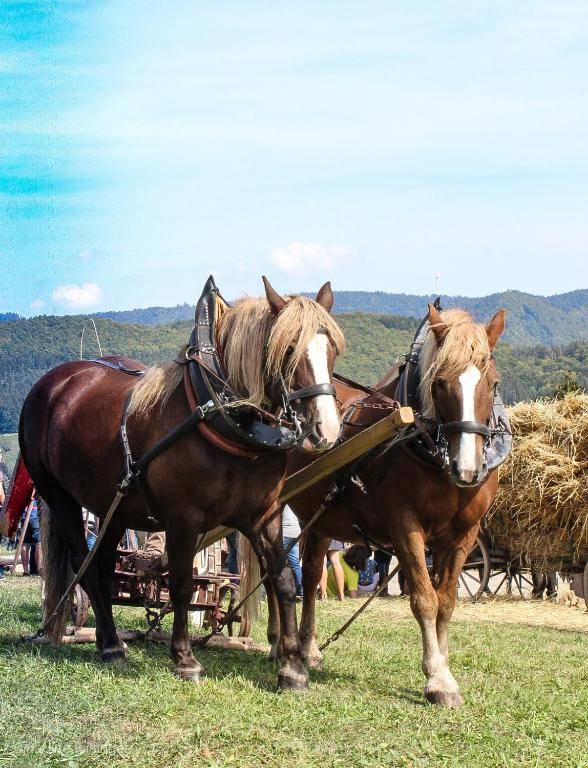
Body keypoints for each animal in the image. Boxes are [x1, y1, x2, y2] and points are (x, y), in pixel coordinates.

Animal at [19, 276, 344, 688]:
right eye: (287, 350)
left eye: (332, 349)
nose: (326, 429)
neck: (224, 419)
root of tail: (54, 382)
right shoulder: (183, 520)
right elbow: (182, 585)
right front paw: (185, 659)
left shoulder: (264, 515)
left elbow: (284, 579)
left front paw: (292, 667)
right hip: (58, 495)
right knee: (86, 565)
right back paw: (111, 645)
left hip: (111, 505)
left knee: (105, 565)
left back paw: (110, 642)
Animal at [272, 302, 506, 708]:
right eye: (439, 383)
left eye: (492, 384)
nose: (468, 468)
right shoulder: (404, 525)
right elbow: (424, 599)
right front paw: (437, 679)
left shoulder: (464, 535)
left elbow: (447, 601)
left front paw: (444, 667)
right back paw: (276, 645)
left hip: (320, 520)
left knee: (313, 574)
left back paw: (308, 650)